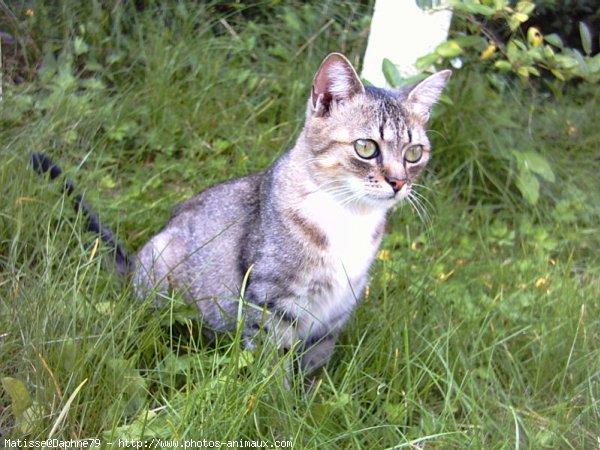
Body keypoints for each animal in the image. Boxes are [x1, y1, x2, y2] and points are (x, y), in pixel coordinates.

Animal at [31, 53, 446, 376]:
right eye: (366, 147)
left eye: (414, 153)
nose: (398, 182)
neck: (349, 220)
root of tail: (133, 264)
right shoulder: (270, 302)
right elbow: (270, 368)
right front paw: (280, 411)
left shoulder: (335, 314)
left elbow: (314, 366)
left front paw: (308, 407)